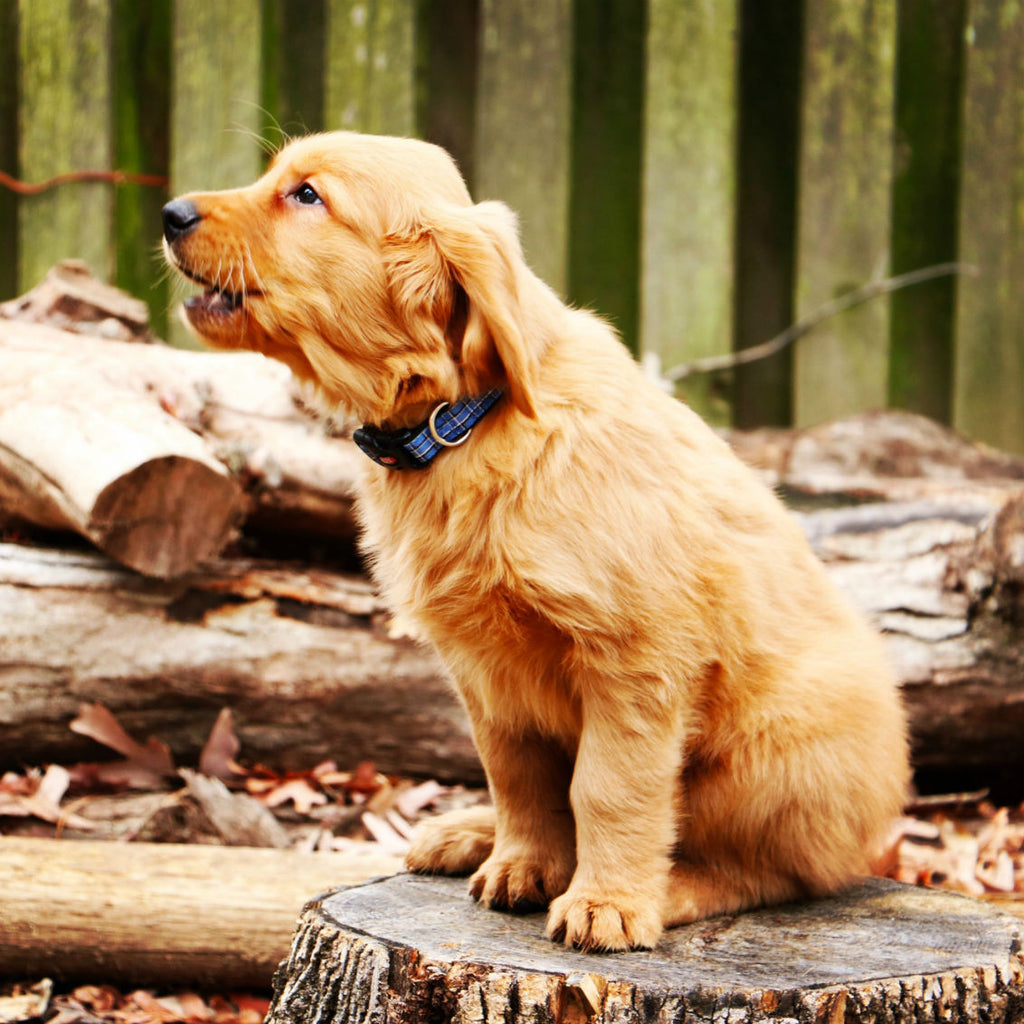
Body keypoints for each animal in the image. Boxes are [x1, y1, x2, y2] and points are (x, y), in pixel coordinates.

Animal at [165, 134, 913, 950]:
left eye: (307, 196)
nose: (170, 212)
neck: (463, 423)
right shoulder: (486, 672)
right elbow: (517, 776)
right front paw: (521, 862)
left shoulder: (634, 659)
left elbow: (608, 788)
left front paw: (606, 902)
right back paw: (468, 833)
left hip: (775, 751)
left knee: (778, 872)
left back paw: (672, 889)